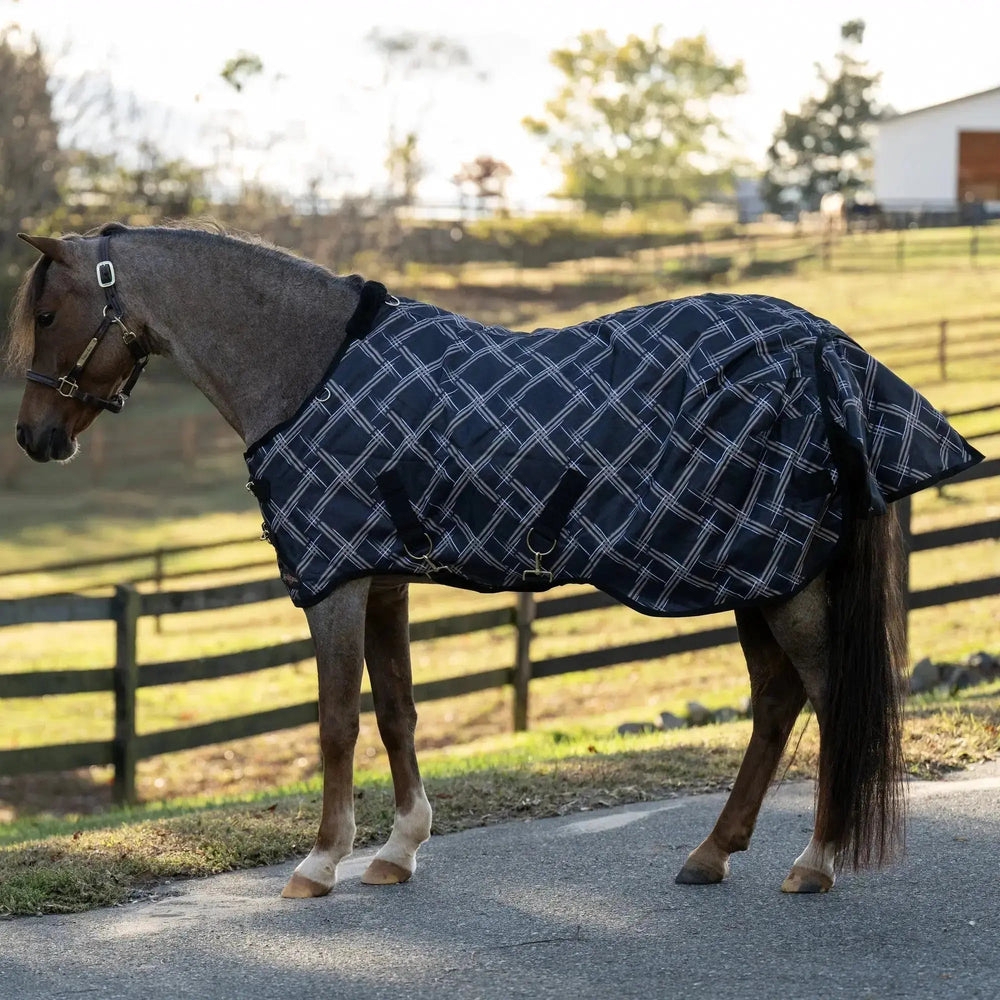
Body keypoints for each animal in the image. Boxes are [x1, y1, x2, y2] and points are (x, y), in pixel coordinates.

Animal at [6, 223, 980, 899]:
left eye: (48, 314)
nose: (36, 438)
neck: (307, 366)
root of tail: (831, 350)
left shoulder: (334, 584)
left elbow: (336, 723)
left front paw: (319, 864)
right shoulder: (383, 580)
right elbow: (396, 713)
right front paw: (397, 851)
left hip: (781, 578)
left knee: (825, 697)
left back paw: (813, 863)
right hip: (759, 571)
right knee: (777, 702)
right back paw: (712, 853)